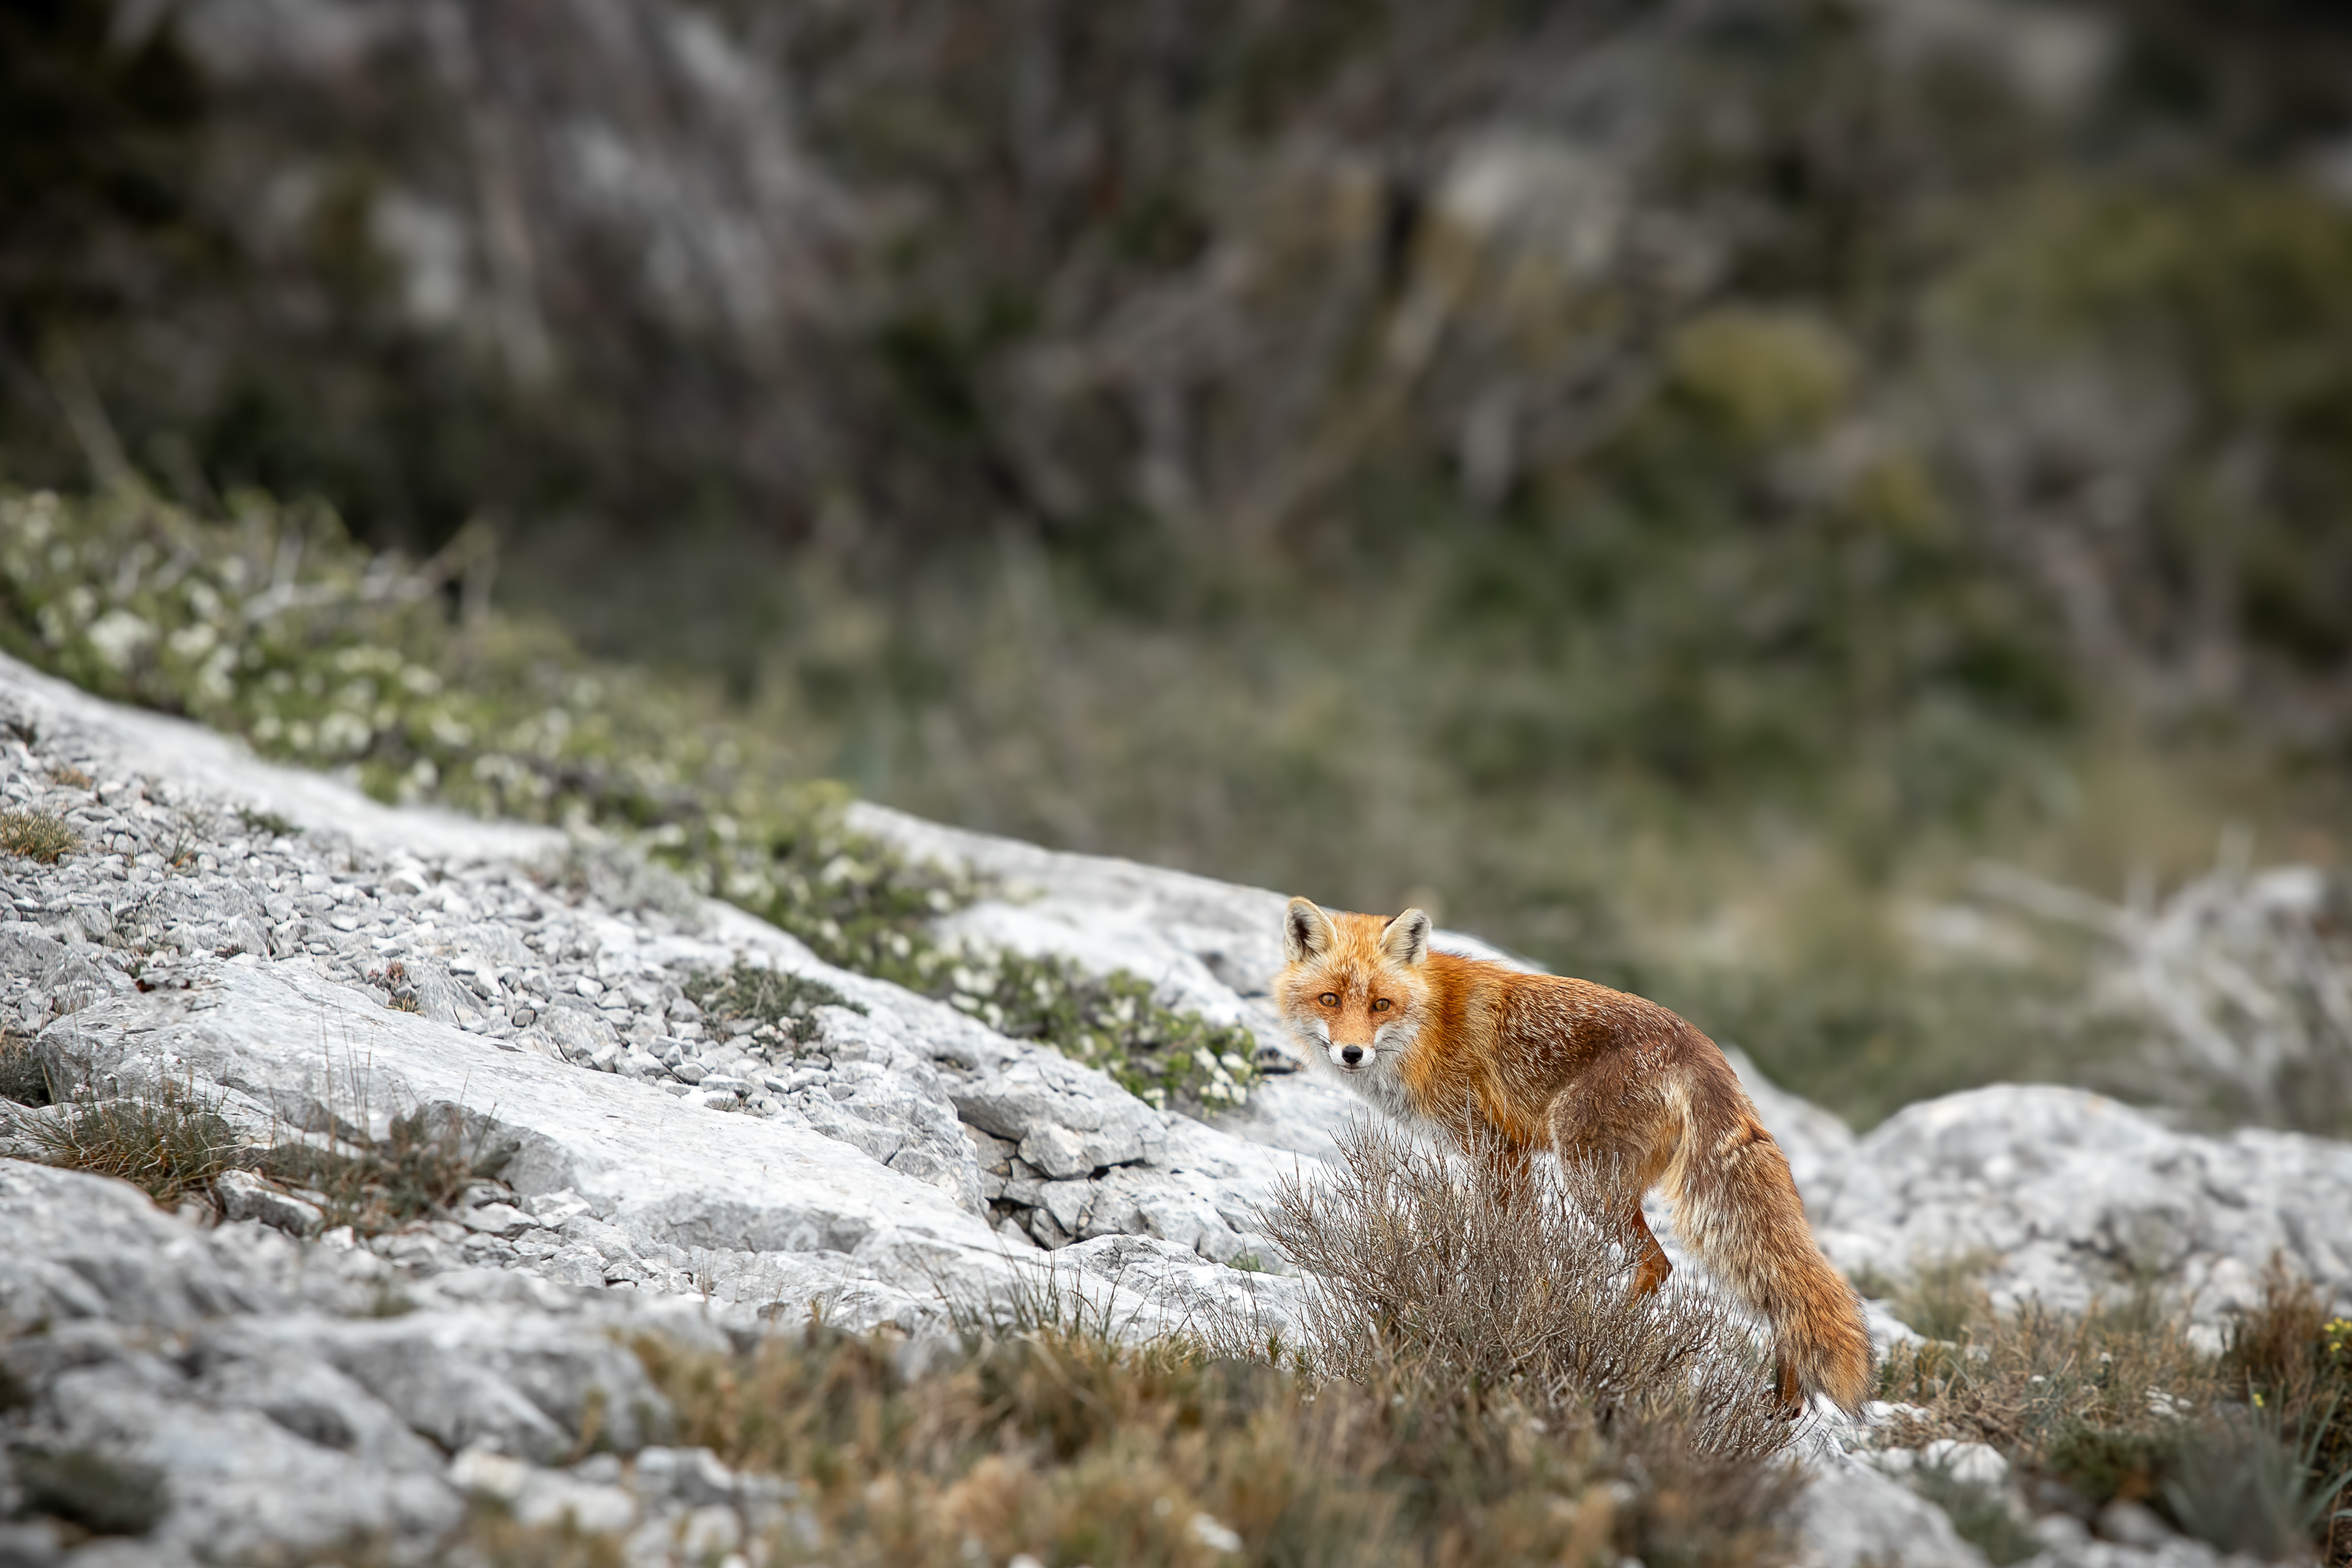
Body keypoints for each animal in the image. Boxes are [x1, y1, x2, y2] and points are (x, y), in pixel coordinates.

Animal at [1275, 896, 1874, 1416]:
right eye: (1330, 1000)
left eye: (1381, 1004)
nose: (1352, 1053)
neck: (1431, 1027)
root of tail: (1702, 1050)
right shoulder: (1506, 1153)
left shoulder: (1498, 1145)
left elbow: (1512, 1240)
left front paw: (1514, 1304)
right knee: (1783, 1292)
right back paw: (1782, 1404)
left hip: (1588, 1178)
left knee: (1660, 1263)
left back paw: (1601, 1333)